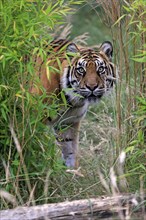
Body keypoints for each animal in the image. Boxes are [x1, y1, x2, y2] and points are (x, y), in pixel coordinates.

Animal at [30, 38, 117, 168]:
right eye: (81, 70)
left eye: (100, 69)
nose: (92, 87)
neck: (71, 100)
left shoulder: (68, 122)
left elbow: (70, 151)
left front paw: (73, 171)